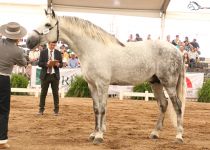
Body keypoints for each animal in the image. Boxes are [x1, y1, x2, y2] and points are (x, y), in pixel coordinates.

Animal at [26, 9, 185, 144]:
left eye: (47, 24)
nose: (28, 41)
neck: (92, 49)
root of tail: (177, 51)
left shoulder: (102, 84)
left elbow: (102, 108)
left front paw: (99, 136)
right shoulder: (92, 85)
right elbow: (96, 109)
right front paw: (94, 133)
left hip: (169, 83)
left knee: (177, 106)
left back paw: (178, 136)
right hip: (156, 82)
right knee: (163, 104)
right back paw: (155, 133)